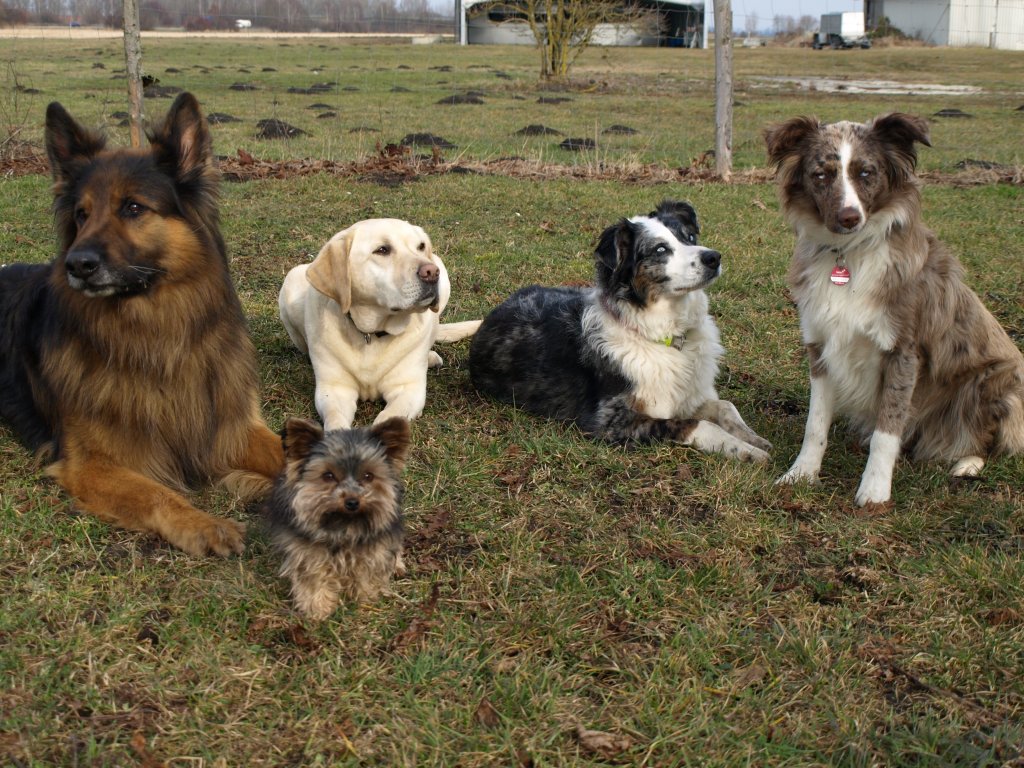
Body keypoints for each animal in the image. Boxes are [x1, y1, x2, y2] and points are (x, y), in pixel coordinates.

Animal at [262, 417, 409, 622]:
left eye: (368, 475)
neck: (344, 525)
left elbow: (368, 570)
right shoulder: (307, 553)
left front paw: (364, 599)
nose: (352, 501)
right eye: (328, 475)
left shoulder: (374, 548)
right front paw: (318, 610)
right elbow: (313, 578)